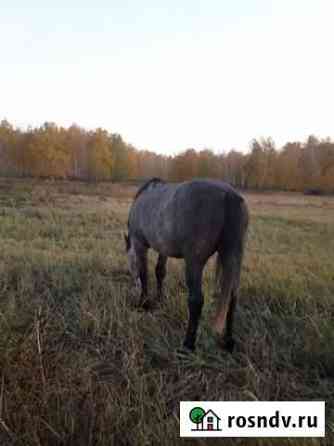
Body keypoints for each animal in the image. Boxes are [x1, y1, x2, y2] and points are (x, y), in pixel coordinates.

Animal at [124, 178, 249, 352]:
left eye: (130, 264)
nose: (131, 284)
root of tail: (229, 195)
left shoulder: (140, 244)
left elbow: (144, 273)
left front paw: (143, 303)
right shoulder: (163, 249)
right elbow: (160, 272)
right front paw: (160, 299)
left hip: (194, 262)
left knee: (196, 300)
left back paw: (188, 345)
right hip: (233, 257)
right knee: (233, 296)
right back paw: (228, 341)